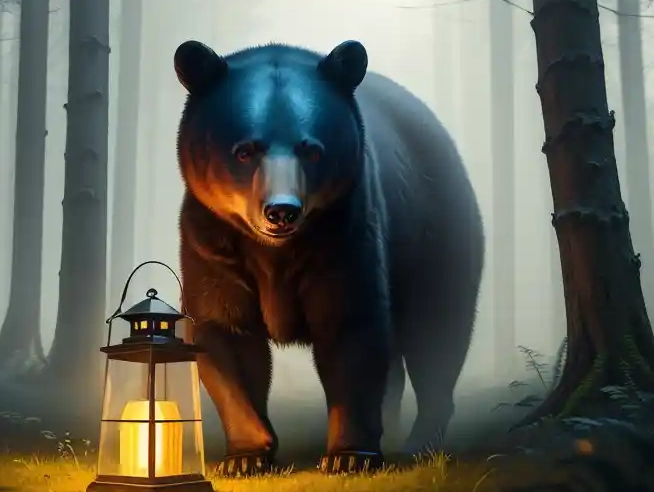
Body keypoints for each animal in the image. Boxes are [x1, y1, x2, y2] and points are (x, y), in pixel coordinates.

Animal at [173, 39, 484, 477]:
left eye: (312, 150)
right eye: (245, 150)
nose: (281, 211)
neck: (275, 252)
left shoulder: (344, 235)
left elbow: (350, 328)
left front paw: (349, 455)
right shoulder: (212, 243)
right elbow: (226, 332)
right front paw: (245, 457)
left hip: (435, 232)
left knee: (438, 332)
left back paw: (419, 443)